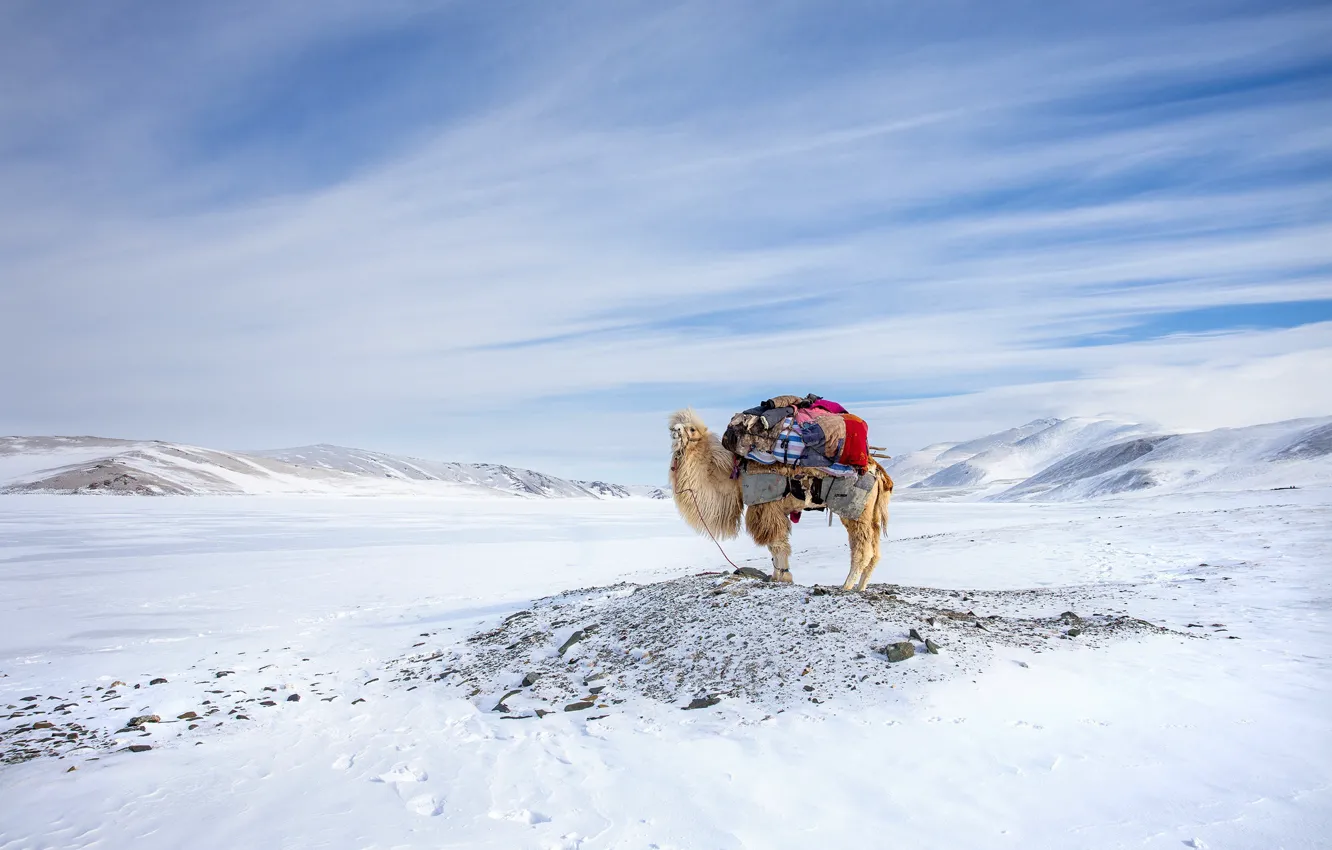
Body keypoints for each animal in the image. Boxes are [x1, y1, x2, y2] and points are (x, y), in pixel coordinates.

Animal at [666, 407, 895, 591]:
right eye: (673, 427)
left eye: (692, 429)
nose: (675, 430)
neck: (735, 479)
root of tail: (879, 471)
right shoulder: (770, 509)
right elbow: (775, 545)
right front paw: (777, 576)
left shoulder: (765, 506)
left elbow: (777, 544)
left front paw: (783, 577)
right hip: (870, 514)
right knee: (875, 551)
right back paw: (860, 587)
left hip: (854, 510)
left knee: (862, 550)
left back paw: (846, 586)